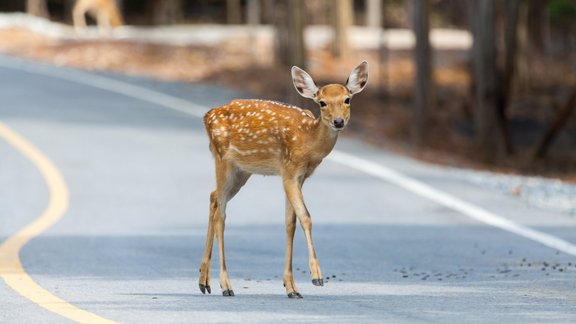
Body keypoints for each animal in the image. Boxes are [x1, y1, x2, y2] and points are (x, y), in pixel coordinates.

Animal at [198, 60, 368, 298]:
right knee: (220, 213)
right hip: (223, 158)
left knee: (213, 197)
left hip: (241, 171)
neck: (308, 142)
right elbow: (306, 217)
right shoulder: (288, 171)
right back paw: (226, 285)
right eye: (322, 102)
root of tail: (207, 116)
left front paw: (292, 287)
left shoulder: (299, 176)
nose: (338, 121)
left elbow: (290, 222)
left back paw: (204, 281)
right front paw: (316, 276)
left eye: (347, 99)